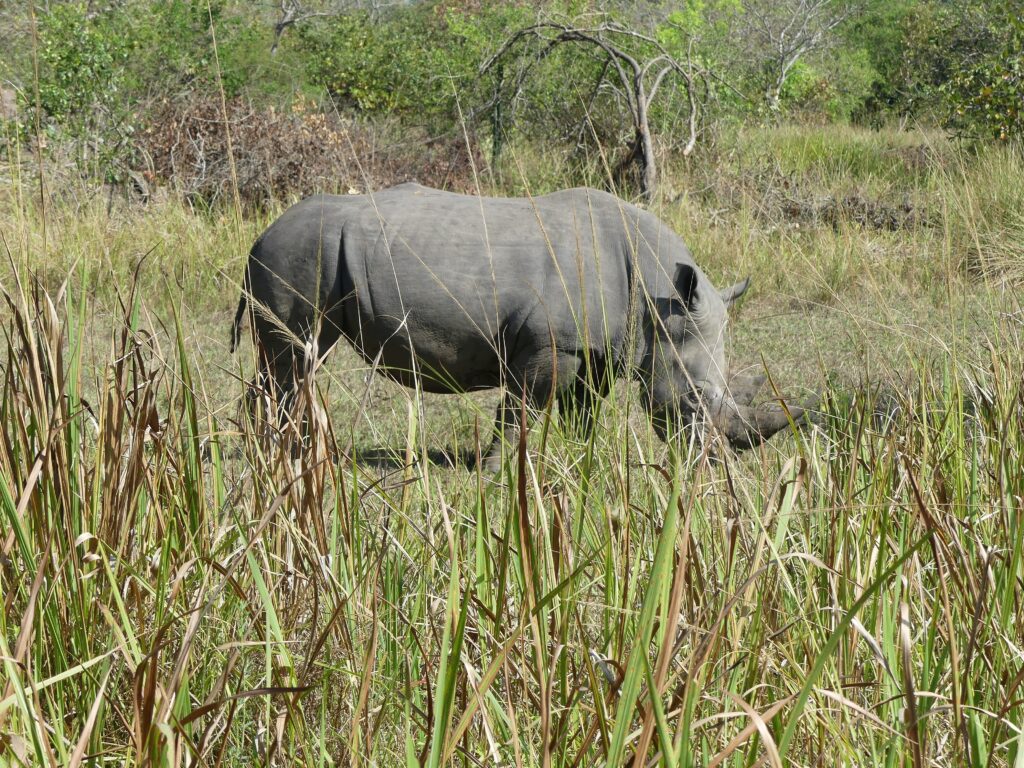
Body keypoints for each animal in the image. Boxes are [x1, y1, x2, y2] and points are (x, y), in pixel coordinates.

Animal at [231, 183, 811, 468]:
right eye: (693, 398)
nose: (713, 462)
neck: (656, 296)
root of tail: (259, 235)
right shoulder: (548, 343)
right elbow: (521, 410)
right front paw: (499, 471)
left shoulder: (598, 347)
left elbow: (582, 410)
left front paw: (579, 460)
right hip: (294, 254)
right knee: (293, 358)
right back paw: (282, 456)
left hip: (307, 253)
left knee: (298, 362)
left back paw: (292, 452)